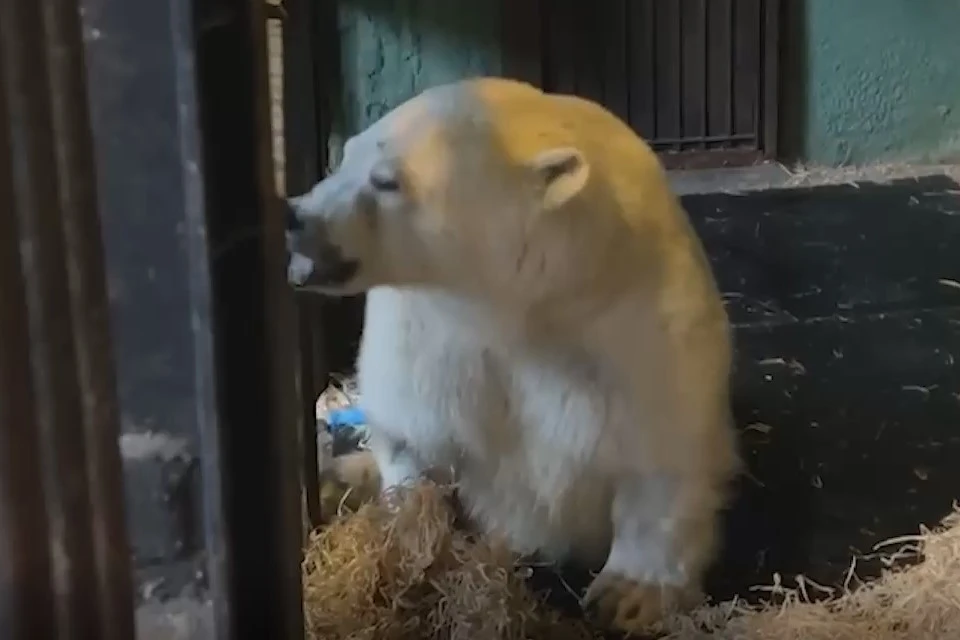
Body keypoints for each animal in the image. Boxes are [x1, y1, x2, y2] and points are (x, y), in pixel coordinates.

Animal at [284, 77, 744, 632]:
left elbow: (662, 456)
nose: (295, 215)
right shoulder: (426, 333)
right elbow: (411, 434)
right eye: (346, 155)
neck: (518, 302)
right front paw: (411, 538)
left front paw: (631, 595)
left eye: (386, 180)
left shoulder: (635, 321)